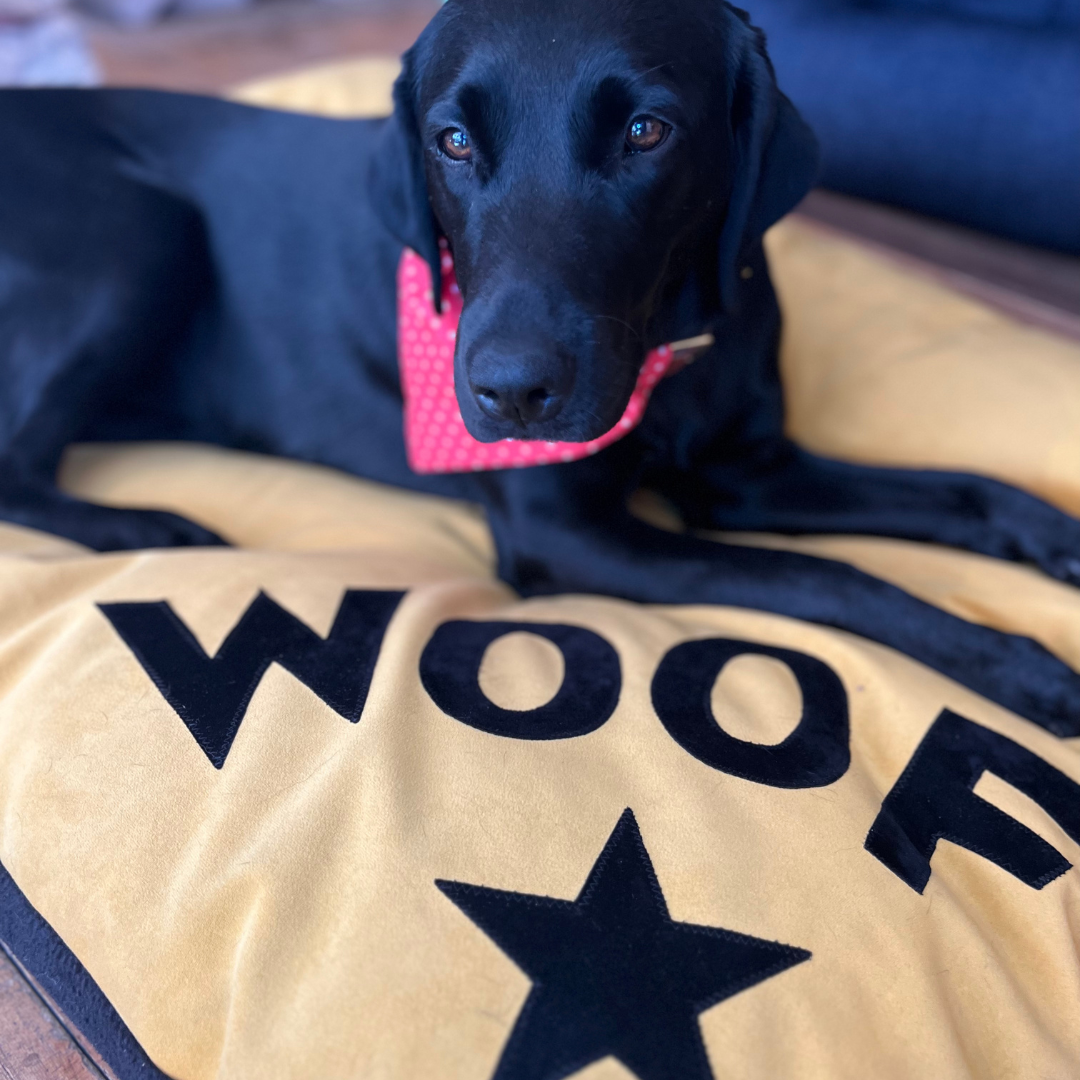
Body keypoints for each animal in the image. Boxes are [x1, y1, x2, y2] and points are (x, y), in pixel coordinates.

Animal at [0, 0, 1075, 734]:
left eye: (647, 130)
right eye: (452, 140)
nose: (512, 392)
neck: (671, 354)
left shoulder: (749, 473)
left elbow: (969, 490)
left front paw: (1055, 539)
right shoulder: (572, 538)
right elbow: (839, 580)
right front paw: (1024, 669)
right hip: (141, 233)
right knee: (18, 464)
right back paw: (150, 526)